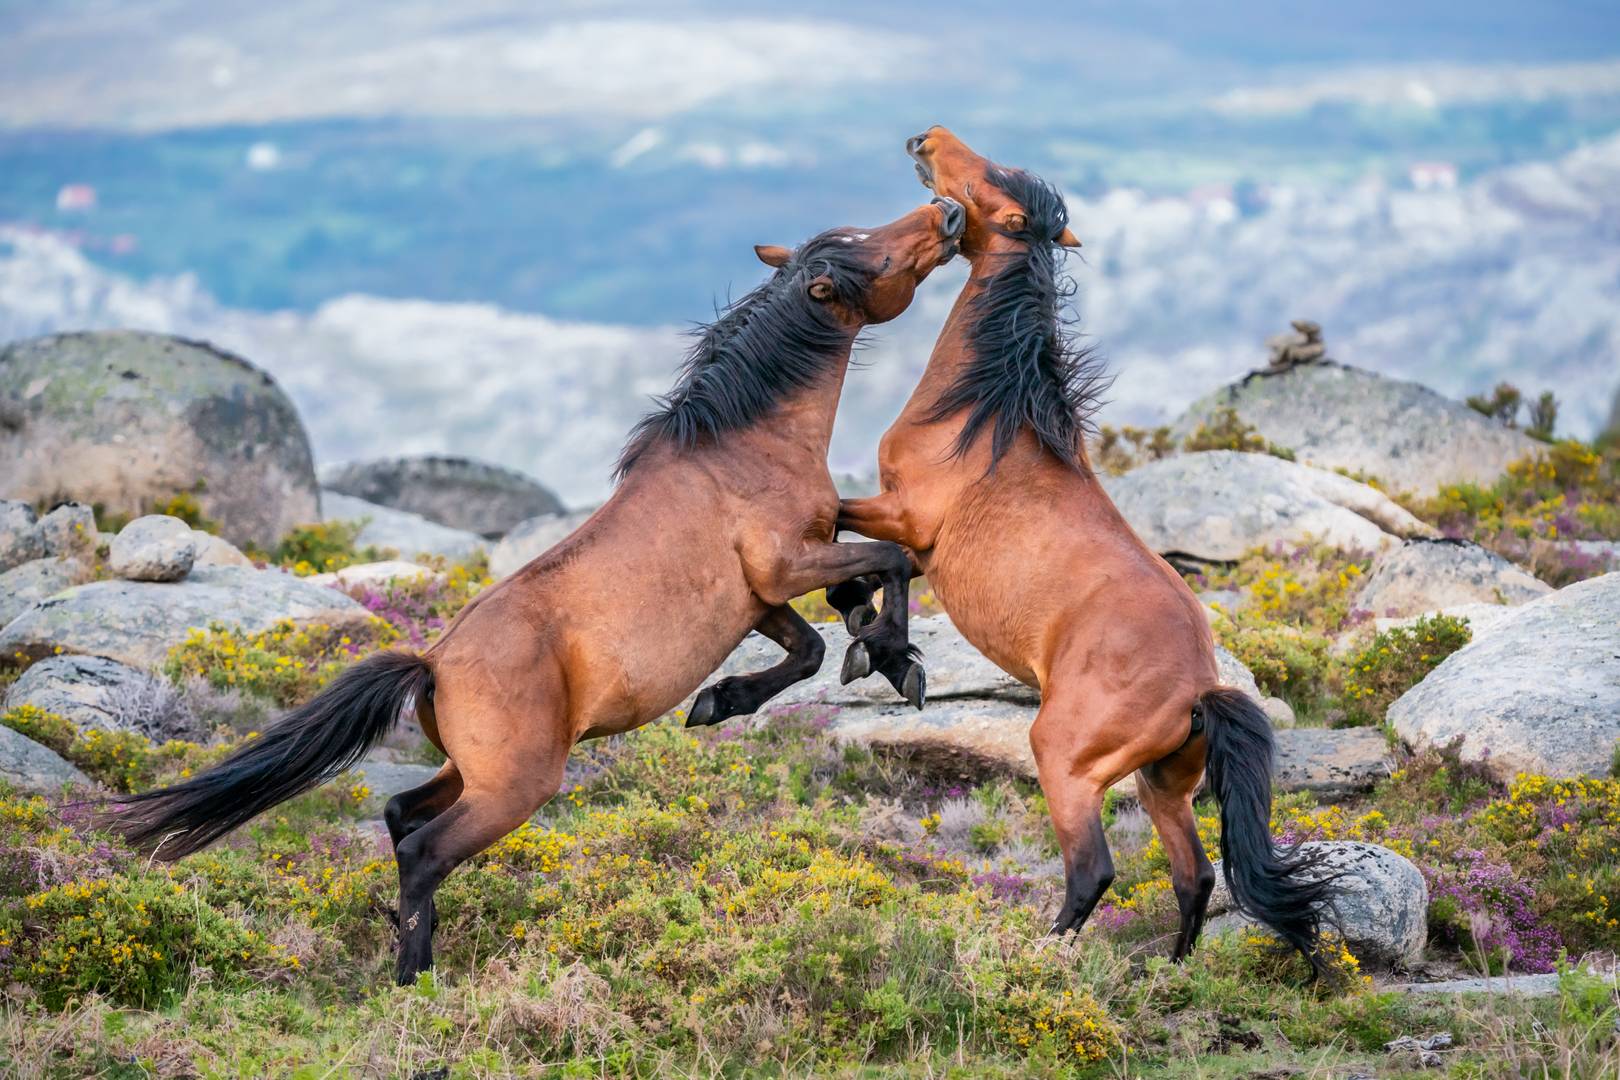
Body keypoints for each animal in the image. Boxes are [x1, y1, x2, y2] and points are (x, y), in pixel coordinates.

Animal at [117, 196, 972, 990]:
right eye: (871, 251)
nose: (947, 213)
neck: (744, 448)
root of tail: (433, 664)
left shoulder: (758, 599)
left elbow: (814, 643)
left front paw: (726, 699)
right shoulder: (785, 567)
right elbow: (892, 564)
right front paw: (896, 661)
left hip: (471, 774)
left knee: (398, 815)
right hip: (515, 788)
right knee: (423, 849)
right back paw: (413, 977)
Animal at [829, 131, 1334, 977]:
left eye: (990, 183)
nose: (926, 141)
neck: (986, 415)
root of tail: (1199, 690)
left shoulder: (904, 516)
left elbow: (848, 543)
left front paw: (881, 653)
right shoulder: (918, 543)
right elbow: (871, 568)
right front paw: (884, 654)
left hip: (1064, 761)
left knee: (1094, 870)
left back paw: (1034, 959)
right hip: (1164, 787)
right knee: (1195, 876)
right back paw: (1168, 975)